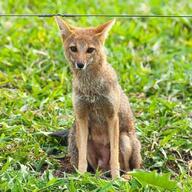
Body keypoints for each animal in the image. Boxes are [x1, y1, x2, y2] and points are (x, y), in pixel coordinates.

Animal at [54, 16, 142, 178]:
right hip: (76, 137)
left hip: (124, 139)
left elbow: (114, 158)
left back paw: (123, 177)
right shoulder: (82, 116)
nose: (80, 64)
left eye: (90, 50)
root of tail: (103, 169)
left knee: (131, 168)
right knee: (94, 168)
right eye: (74, 48)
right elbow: (82, 160)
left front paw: (115, 179)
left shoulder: (112, 116)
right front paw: (81, 178)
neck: (91, 89)